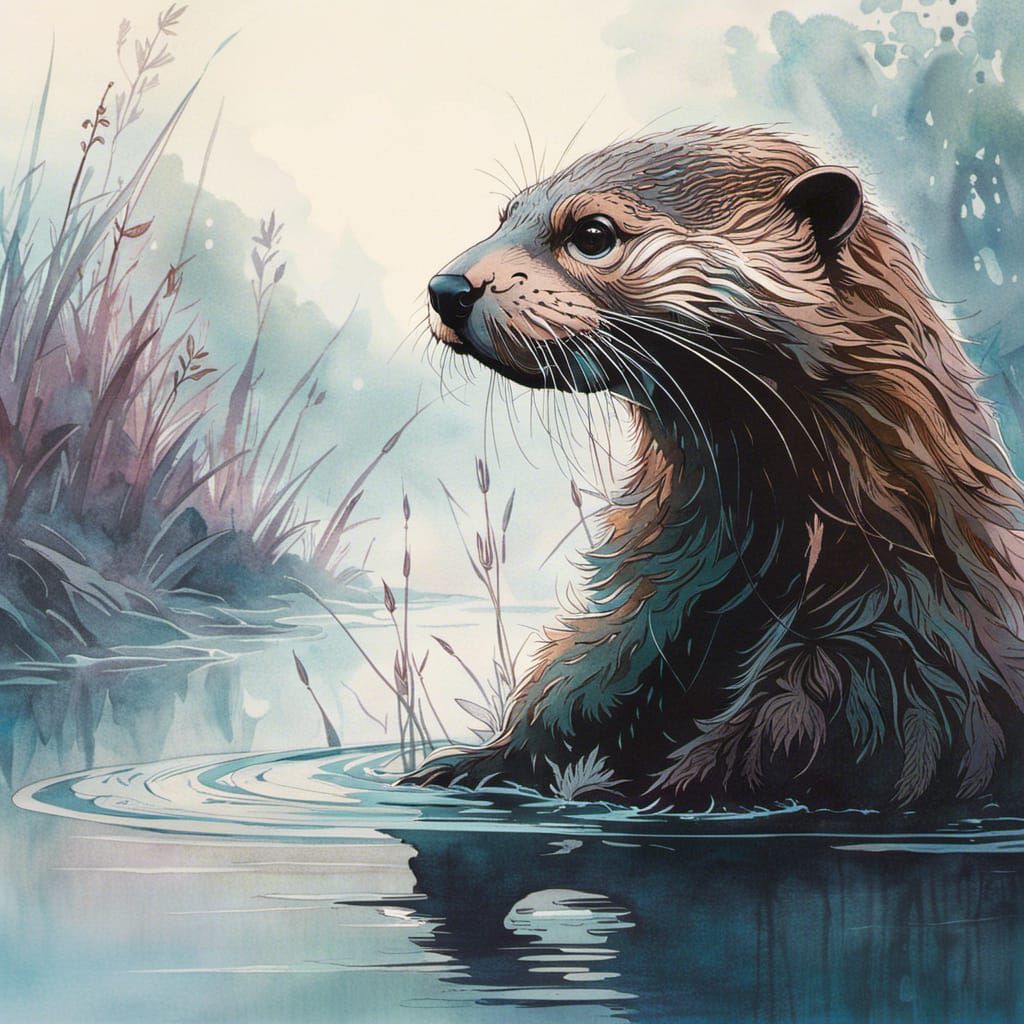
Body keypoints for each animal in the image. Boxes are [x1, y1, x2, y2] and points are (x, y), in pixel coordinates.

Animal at [404, 126, 1024, 811]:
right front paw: (464, 768)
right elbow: (570, 697)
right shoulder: (641, 623)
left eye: (592, 233)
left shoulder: (878, 680)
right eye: (505, 216)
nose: (448, 287)